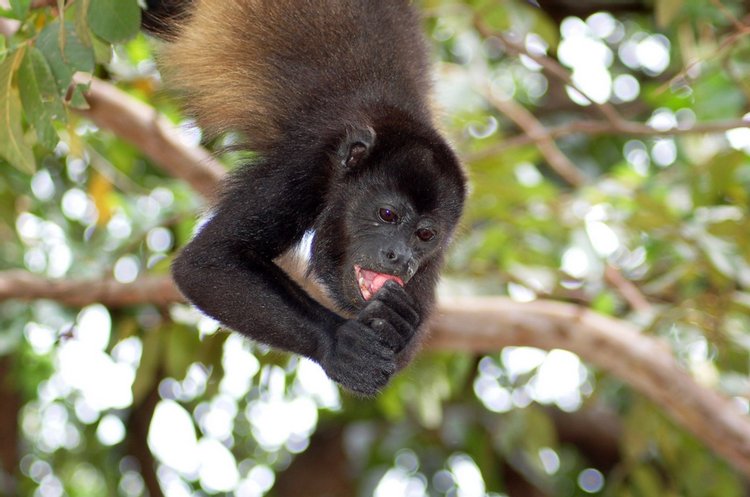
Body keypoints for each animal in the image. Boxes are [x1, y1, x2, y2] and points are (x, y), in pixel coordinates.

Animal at [143, 0, 467, 396]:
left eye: (425, 235)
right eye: (387, 214)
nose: (401, 258)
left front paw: (401, 322)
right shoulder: (306, 166)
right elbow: (206, 262)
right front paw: (338, 341)